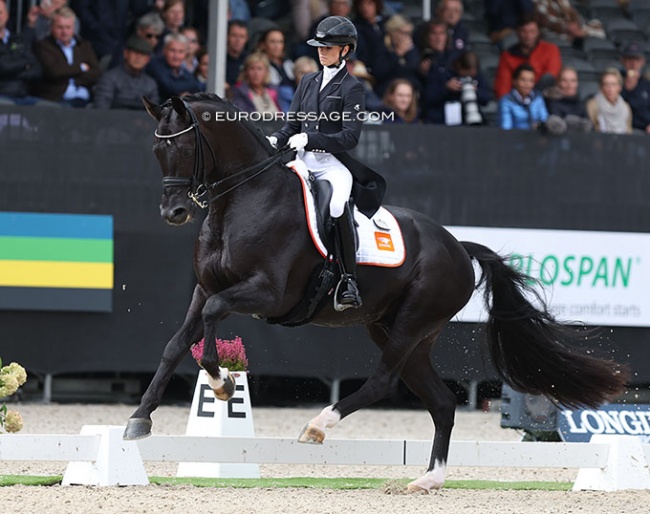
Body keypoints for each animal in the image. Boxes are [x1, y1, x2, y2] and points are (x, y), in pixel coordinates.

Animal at [125, 94, 628, 490]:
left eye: (182, 146)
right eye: (155, 147)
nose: (174, 212)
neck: (244, 200)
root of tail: (457, 246)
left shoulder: (268, 294)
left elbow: (213, 316)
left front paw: (222, 383)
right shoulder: (205, 288)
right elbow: (176, 343)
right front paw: (139, 420)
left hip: (411, 323)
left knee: (385, 381)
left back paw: (318, 425)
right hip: (400, 331)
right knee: (441, 401)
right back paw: (427, 479)